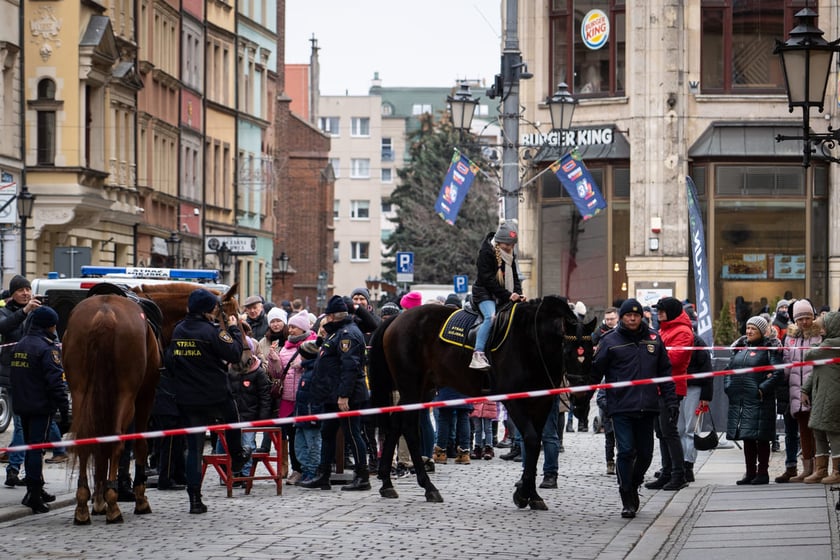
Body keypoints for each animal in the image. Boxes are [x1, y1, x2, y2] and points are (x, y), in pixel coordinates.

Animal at [370, 296, 580, 510]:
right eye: (570, 351)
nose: (578, 390)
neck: (528, 340)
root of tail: (397, 318)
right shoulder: (515, 401)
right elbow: (531, 440)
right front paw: (525, 493)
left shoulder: (542, 402)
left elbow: (534, 444)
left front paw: (529, 493)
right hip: (411, 387)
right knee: (409, 428)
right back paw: (428, 487)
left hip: (421, 390)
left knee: (396, 425)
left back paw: (387, 483)